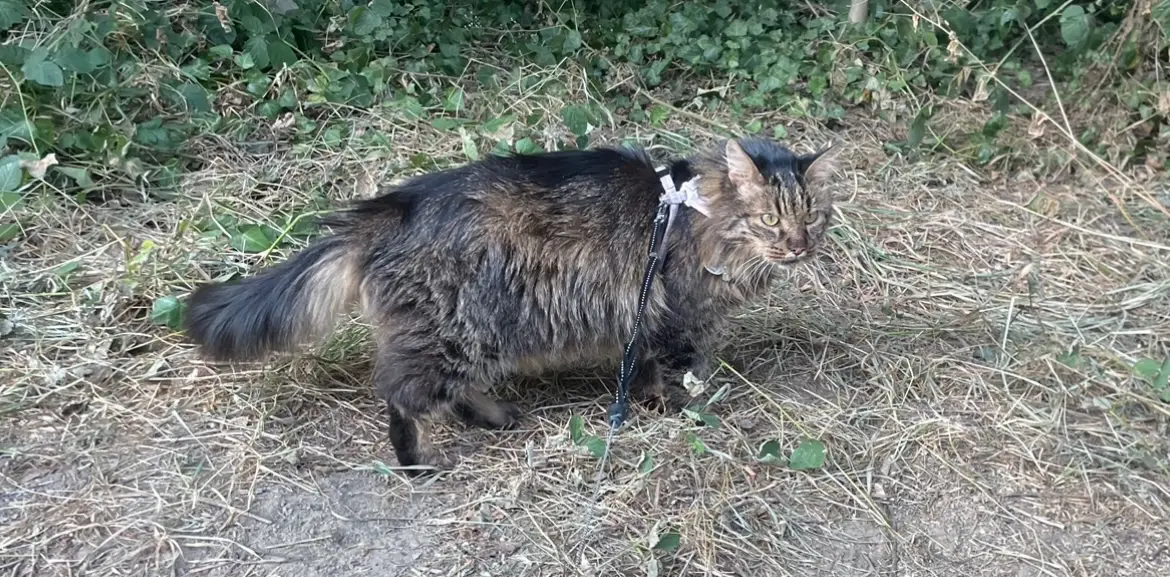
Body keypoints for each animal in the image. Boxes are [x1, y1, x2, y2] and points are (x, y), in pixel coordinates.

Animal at [184, 136, 842, 475]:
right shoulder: (676, 316)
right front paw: (686, 410)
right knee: (402, 394)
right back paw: (417, 460)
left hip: (478, 332)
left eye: (811, 216)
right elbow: (679, 373)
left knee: (450, 393)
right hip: (457, 330)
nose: (799, 246)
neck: (695, 215)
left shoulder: (647, 320)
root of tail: (388, 209)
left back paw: (497, 416)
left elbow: (645, 369)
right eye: (770, 220)